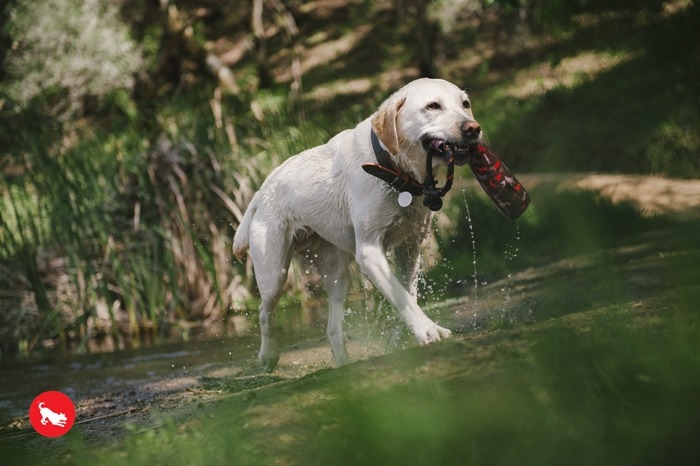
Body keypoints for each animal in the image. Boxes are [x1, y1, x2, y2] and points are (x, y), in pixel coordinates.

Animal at [232, 79, 484, 372]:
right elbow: (401, 297)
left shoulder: (410, 247)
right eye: (433, 106)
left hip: (337, 273)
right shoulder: (369, 251)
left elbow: (407, 295)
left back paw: (344, 365)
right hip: (274, 272)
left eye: (465, 104)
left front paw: (406, 336)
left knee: (332, 327)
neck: (392, 167)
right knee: (264, 311)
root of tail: (261, 190)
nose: (473, 128)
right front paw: (430, 331)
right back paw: (268, 356)